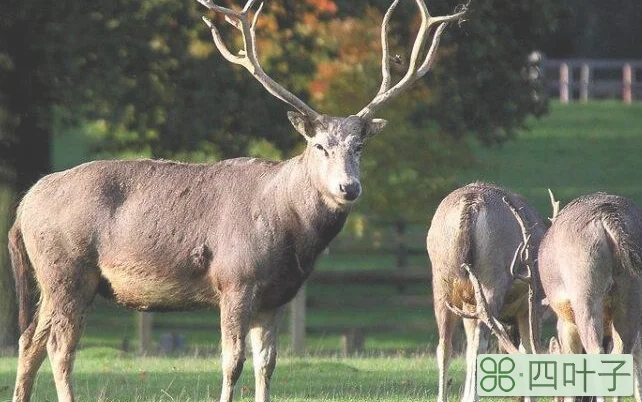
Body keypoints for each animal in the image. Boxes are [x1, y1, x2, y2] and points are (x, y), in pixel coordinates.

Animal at [8, 0, 464, 402]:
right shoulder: (235, 279)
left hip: (53, 279)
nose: (348, 188)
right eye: (319, 145)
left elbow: (267, 363)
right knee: (59, 348)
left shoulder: (278, 296)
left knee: (29, 339)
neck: (290, 234)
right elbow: (232, 361)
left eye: (360, 146)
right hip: (67, 269)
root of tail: (22, 206)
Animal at [424, 183, 544, 402]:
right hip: (492, 276)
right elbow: (528, 348)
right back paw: (473, 397)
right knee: (481, 341)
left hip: (442, 280)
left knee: (445, 345)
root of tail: (471, 205)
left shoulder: (469, 305)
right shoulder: (531, 306)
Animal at [536, 192, 640, 402]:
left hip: (583, 289)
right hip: (632, 292)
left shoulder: (565, 319)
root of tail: (607, 216)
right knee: (622, 351)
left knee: (596, 351)